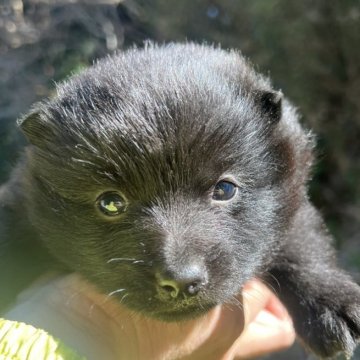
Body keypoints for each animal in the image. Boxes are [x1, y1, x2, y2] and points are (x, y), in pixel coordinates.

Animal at [0, 43, 360, 358]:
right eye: (110, 203)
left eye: (225, 189)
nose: (180, 280)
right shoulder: (21, 203)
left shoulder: (291, 199)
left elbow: (302, 245)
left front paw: (332, 304)